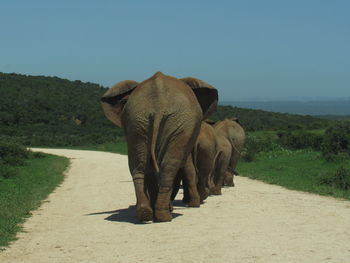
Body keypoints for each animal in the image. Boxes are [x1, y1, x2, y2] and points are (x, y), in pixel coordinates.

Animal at [100, 72, 217, 223]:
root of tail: (158, 104)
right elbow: (187, 168)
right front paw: (191, 205)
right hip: (178, 123)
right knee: (168, 167)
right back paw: (164, 216)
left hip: (137, 121)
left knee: (140, 165)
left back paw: (145, 214)